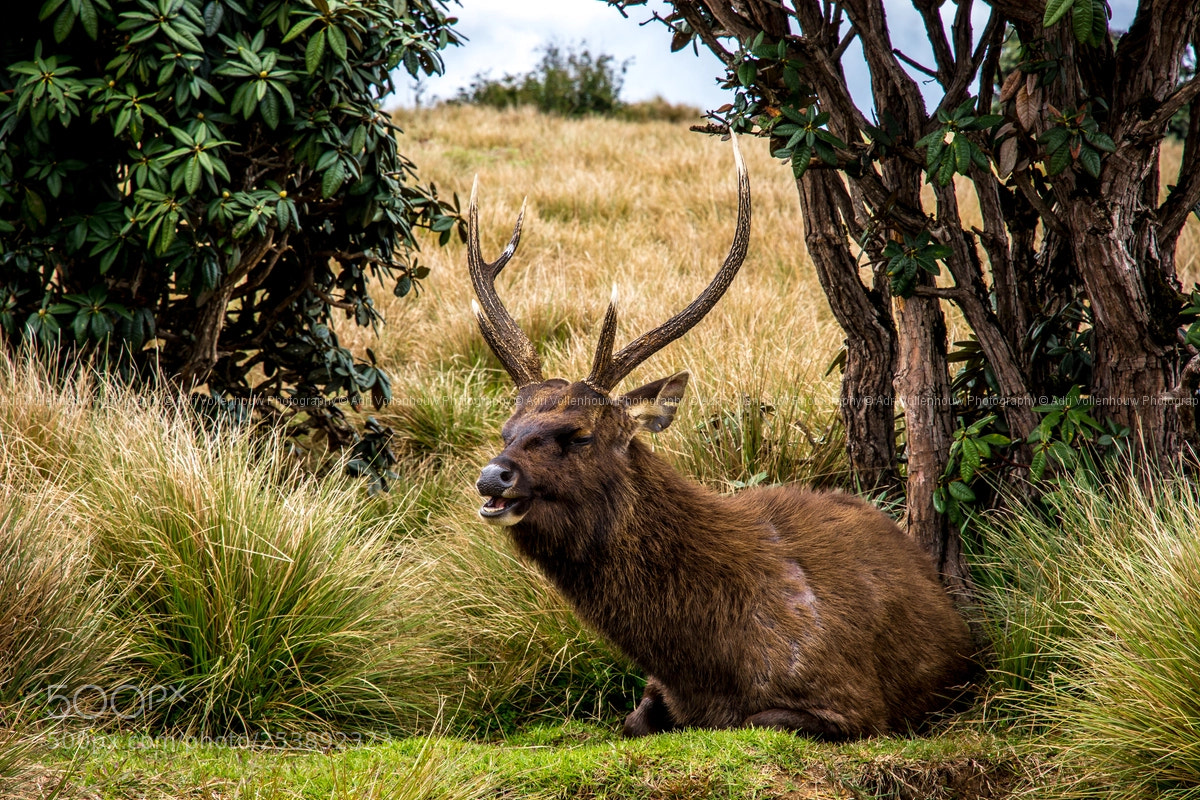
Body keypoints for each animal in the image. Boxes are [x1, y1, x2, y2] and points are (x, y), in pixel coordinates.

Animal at [467, 134, 976, 740]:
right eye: (507, 428)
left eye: (580, 434)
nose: (493, 475)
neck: (704, 660)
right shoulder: (658, 691)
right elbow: (633, 721)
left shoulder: (853, 704)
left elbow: (754, 721)